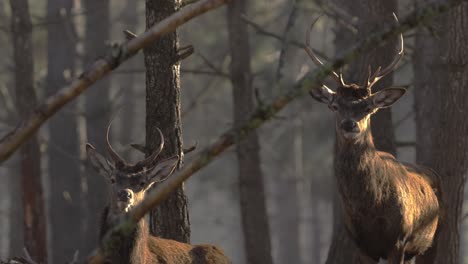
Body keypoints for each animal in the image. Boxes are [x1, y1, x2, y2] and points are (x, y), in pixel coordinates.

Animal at [306, 17, 440, 264]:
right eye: (335, 105)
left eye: (368, 107)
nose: (349, 125)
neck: (370, 208)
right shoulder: (362, 244)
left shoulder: (399, 239)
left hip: (430, 239)